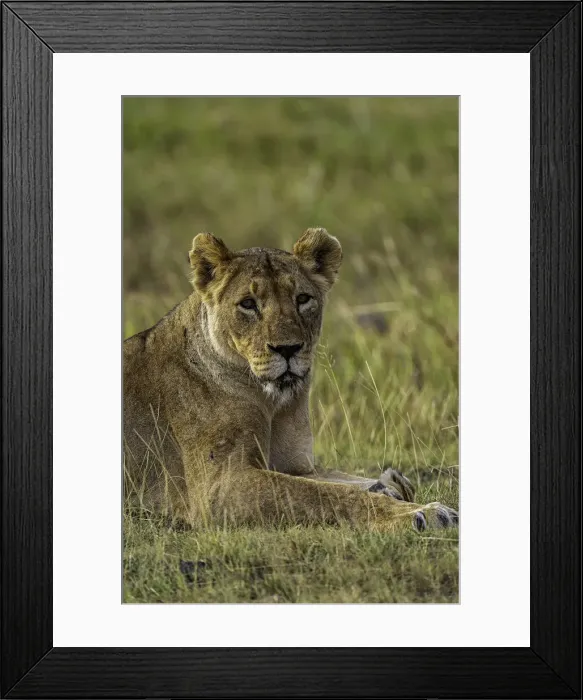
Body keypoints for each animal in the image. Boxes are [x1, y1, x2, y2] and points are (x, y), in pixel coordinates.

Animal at [123, 228, 458, 531]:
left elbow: (334, 479)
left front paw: (391, 484)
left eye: (303, 299)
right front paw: (418, 512)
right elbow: (325, 494)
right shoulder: (218, 488)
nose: (287, 349)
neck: (274, 402)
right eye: (248, 304)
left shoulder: (295, 464)